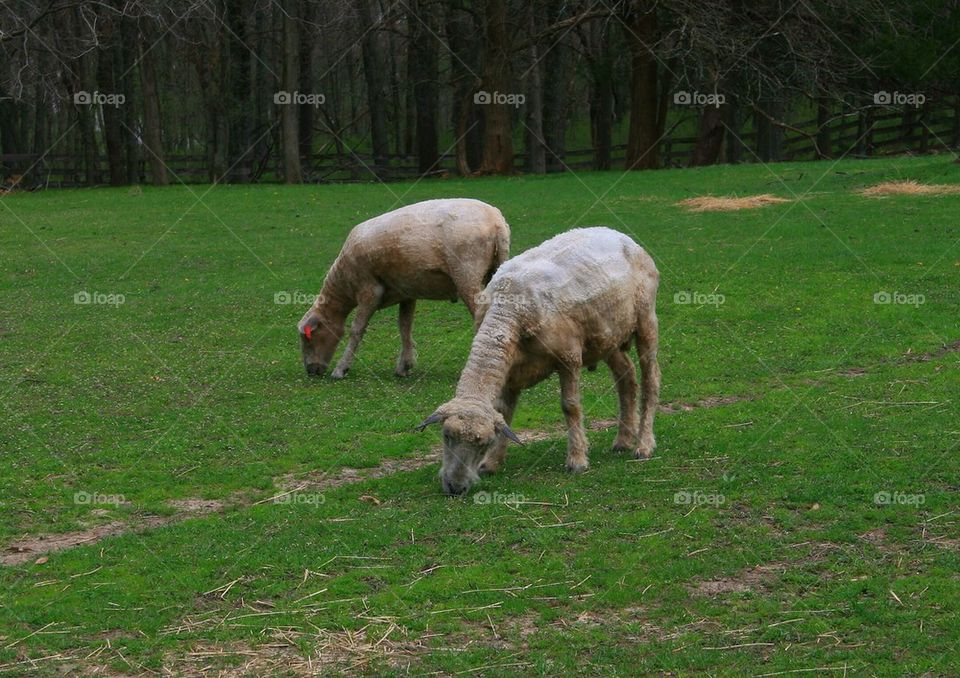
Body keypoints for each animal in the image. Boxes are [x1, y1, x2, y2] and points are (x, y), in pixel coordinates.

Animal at [298, 199, 510, 380]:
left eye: (309, 338)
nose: (311, 371)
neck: (344, 282)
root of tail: (496, 223)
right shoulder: (407, 293)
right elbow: (404, 326)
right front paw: (404, 366)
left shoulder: (369, 291)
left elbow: (357, 330)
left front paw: (341, 369)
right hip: (495, 271)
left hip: (467, 275)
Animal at [420, 226, 660, 496]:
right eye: (446, 435)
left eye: (483, 442)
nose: (455, 487)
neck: (508, 310)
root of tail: (619, 234)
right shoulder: (510, 370)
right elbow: (505, 411)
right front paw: (492, 463)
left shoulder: (569, 357)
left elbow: (570, 407)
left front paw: (577, 460)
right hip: (608, 336)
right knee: (626, 377)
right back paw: (622, 440)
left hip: (646, 319)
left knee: (650, 380)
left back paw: (644, 445)